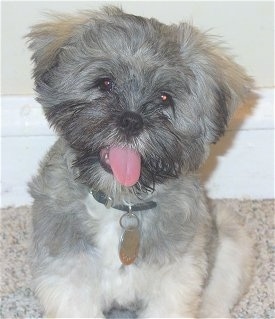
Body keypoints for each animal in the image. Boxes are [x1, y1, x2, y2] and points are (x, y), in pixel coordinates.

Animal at [27, 6, 254, 318]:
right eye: (105, 83)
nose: (131, 121)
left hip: (232, 240)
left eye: (164, 97)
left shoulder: (176, 280)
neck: (122, 202)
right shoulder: (68, 277)